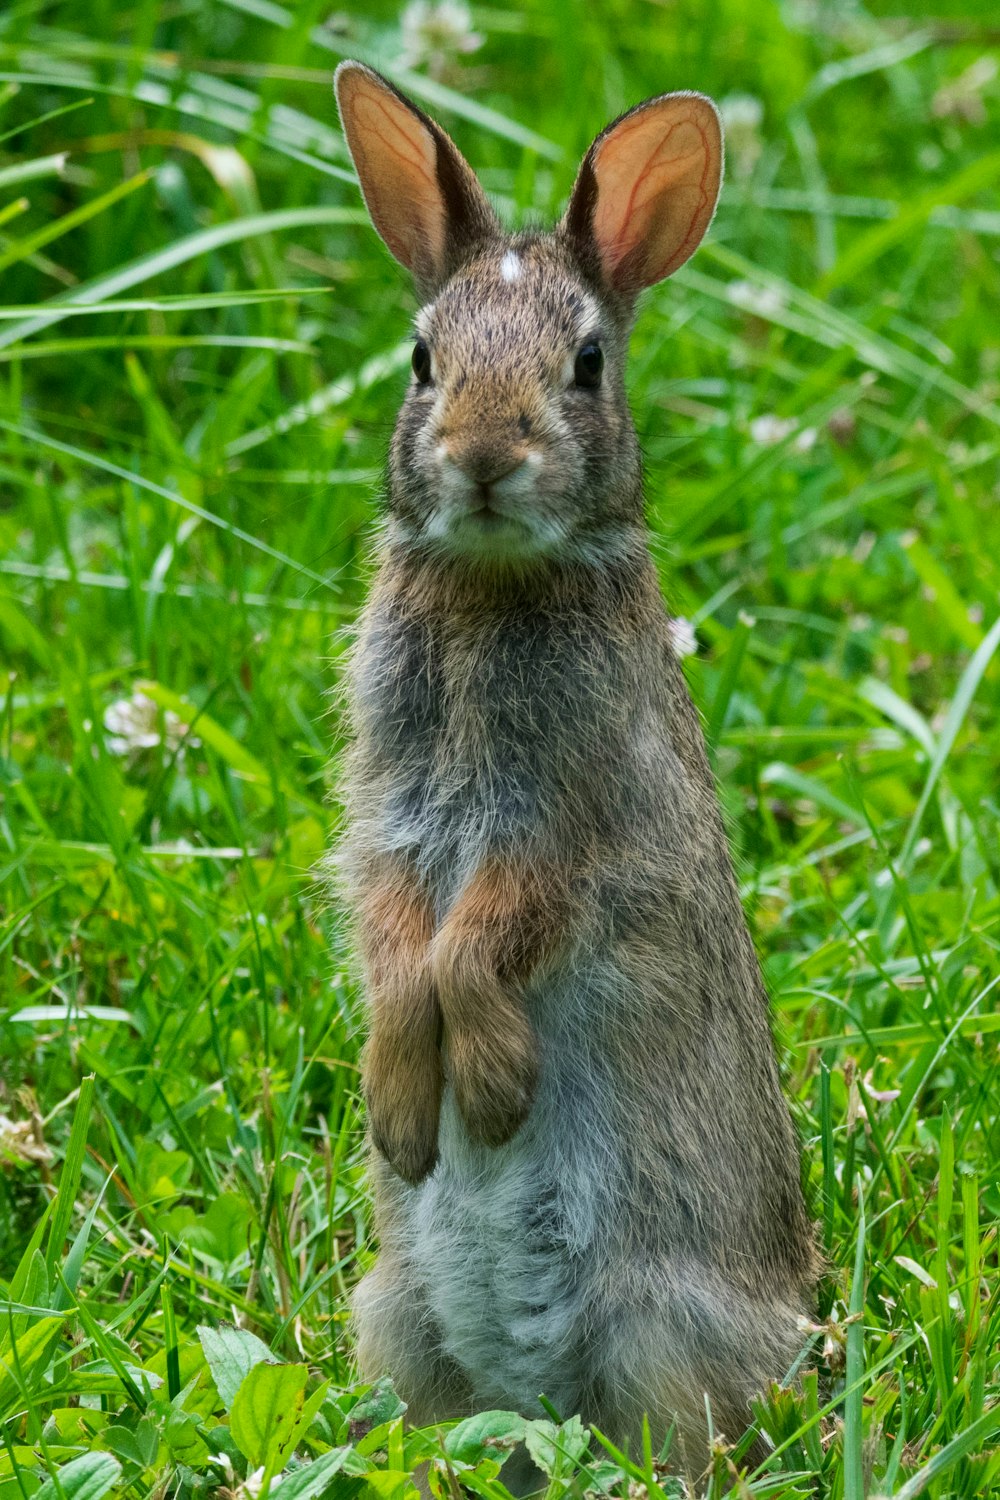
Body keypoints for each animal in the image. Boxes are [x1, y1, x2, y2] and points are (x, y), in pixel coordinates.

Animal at [332, 64, 815, 1482]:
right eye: (422, 359)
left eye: (586, 364)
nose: (486, 457)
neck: (494, 581)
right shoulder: (389, 819)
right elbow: (399, 942)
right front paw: (402, 1109)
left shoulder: (573, 831)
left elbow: (483, 938)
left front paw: (488, 1092)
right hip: (392, 1312)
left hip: (662, 1323)